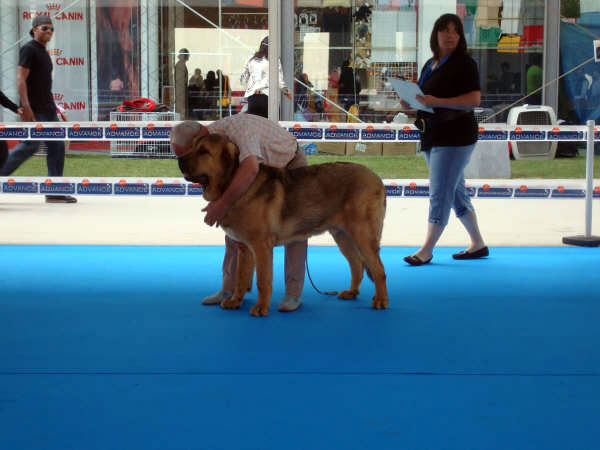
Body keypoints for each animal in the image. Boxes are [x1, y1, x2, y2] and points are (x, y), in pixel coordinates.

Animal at [177, 134, 390, 316]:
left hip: (362, 235)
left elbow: (263, 280)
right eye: (193, 146)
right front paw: (235, 301)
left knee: (378, 269)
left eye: (203, 151)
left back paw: (381, 300)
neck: (233, 184)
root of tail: (378, 179)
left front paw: (261, 308)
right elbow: (241, 277)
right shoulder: (244, 248)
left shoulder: (261, 247)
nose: (179, 160)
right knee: (357, 264)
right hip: (342, 235)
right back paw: (352, 292)